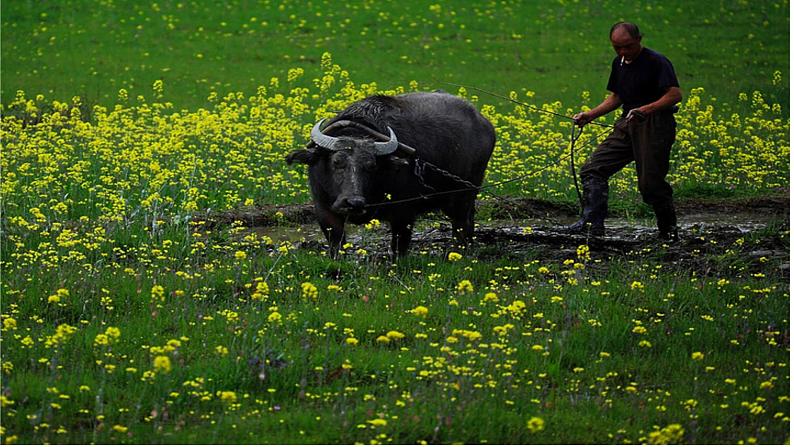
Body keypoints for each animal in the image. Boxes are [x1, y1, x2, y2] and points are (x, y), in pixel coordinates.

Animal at [284, 91, 496, 260]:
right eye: (337, 162)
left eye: (371, 166)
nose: (353, 203)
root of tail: (485, 124)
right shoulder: (323, 209)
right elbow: (336, 243)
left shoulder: (404, 212)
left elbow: (399, 246)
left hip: (464, 194)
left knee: (460, 225)